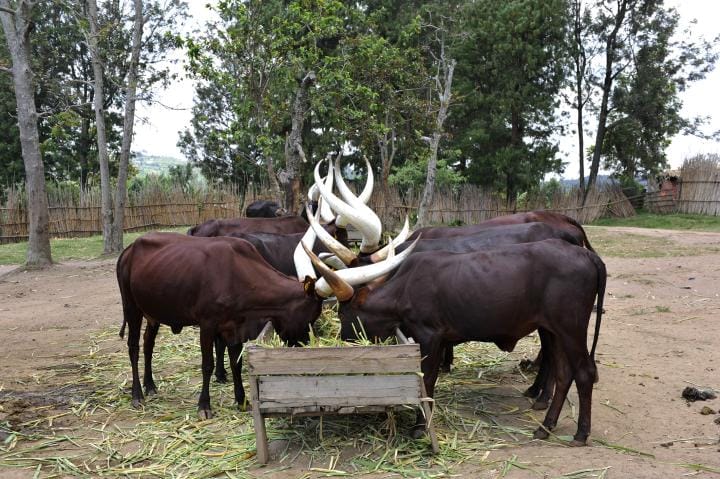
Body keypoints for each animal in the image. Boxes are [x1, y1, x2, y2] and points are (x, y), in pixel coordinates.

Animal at [308, 239, 606, 446]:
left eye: (342, 313)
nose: (342, 338)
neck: (405, 287)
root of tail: (587, 254)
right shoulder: (436, 339)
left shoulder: (429, 336)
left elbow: (426, 380)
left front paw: (419, 427)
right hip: (553, 331)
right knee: (564, 374)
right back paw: (545, 427)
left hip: (570, 329)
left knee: (584, 372)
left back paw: (581, 433)